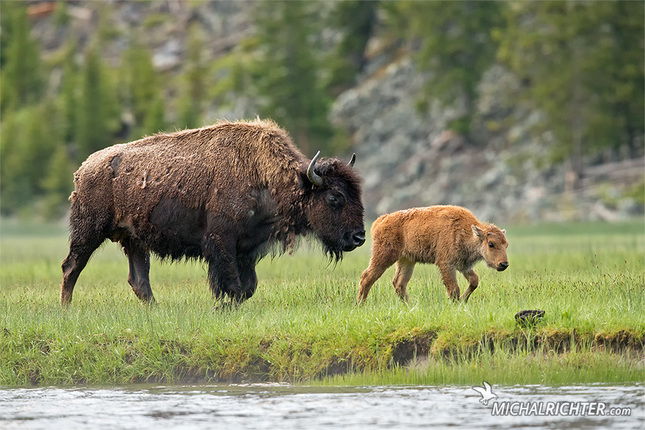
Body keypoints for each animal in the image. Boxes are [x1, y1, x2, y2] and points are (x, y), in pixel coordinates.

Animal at [61, 119, 364, 304]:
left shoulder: (247, 248)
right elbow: (232, 285)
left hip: (134, 240)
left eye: (357, 194)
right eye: (334, 198)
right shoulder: (221, 243)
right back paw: (67, 309)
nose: (358, 237)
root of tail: (83, 169)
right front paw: (220, 308)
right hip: (88, 232)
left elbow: (247, 288)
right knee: (71, 267)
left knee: (139, 280)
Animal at [358, 206, 508, 304]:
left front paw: (462, 301)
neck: (466, 231)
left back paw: (410, 305)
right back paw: (361, 304)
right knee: (367, 276)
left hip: (406, 260)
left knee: (399, 283)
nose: (504, 264)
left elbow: (474, 281)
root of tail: (381, 220)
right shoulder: (446, 264)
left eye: (506, 245)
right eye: (491, 244)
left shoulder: (463, 265)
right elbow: (454, 288)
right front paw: (456, 303)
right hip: (383, 256)